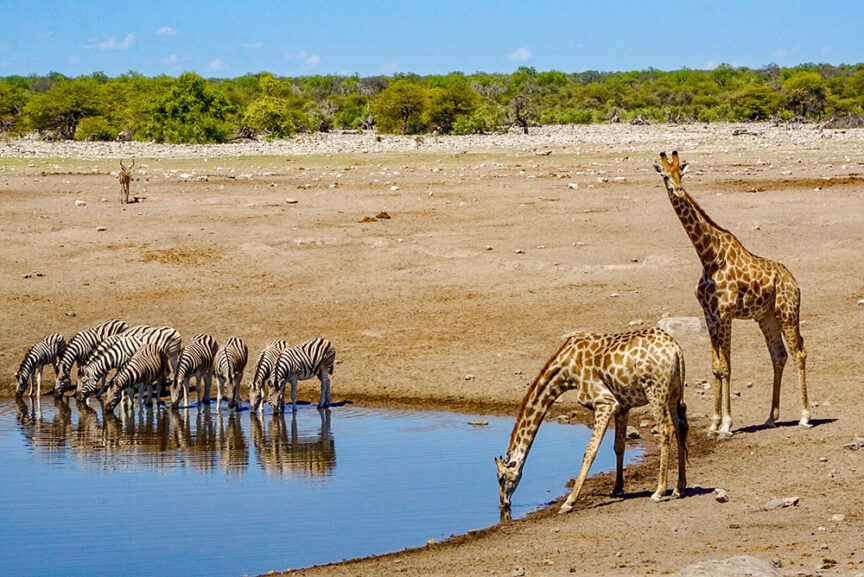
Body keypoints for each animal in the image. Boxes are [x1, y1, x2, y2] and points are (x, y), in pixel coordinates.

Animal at [495, 327, 688, 515]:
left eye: (501, 477)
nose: (503, 503)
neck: (567, 369)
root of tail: (676, 350)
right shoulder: (622, 406)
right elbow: (619, 447)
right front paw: (617, 489)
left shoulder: (604, 402)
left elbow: (589, 452)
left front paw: (568, 502)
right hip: (673, 392)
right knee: (680, 427)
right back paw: (679, 488)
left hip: (655, 390)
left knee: (666, 430)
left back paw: (659, 491)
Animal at [654, 151, 810, 438]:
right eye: (665, 176)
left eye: (681, 173)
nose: (679, 190)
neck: (708, 256)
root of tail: (794, 281)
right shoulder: (710, 314)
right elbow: (717, 367)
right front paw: (714, 424)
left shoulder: (725, 313)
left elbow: (726, 366)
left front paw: (726, 424)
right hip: (766, 317)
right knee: (779, 355)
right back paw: (770, 418)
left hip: (787, 310)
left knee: (799, 352)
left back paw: (805, 416)